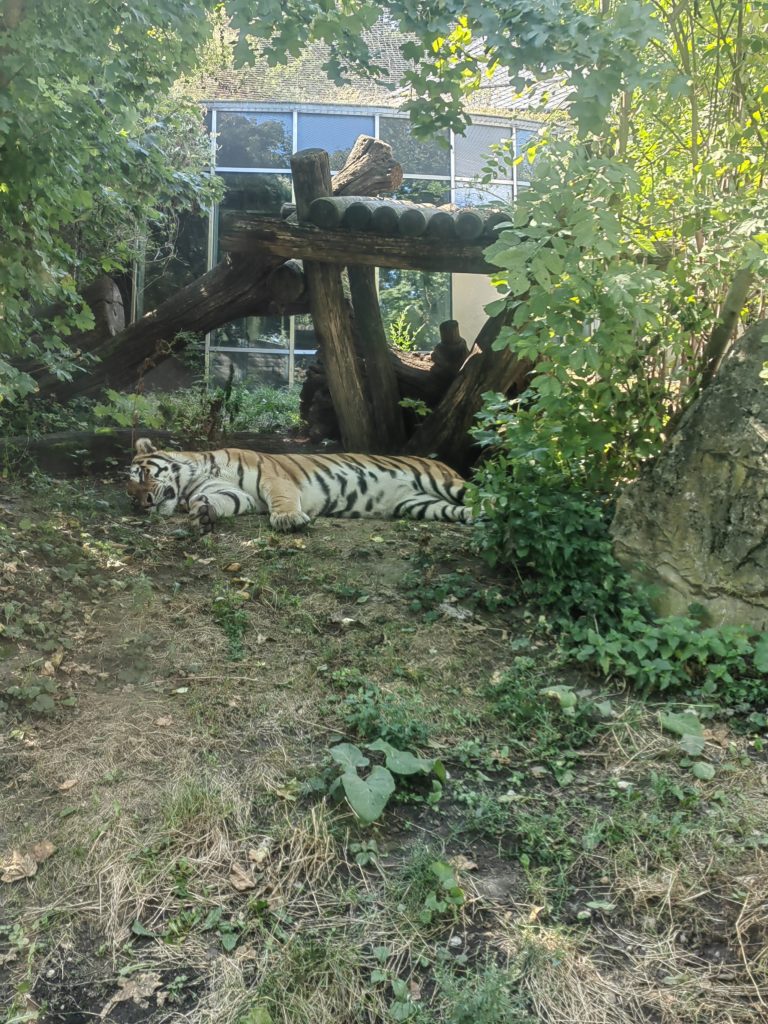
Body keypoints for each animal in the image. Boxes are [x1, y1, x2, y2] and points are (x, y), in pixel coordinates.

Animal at [128, 436, 475, 536]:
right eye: (131, 498)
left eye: (141, 477)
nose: (143, 504)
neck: (194, 478)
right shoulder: (237, 495)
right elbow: (220, 501)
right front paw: (202, 513)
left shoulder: (271, 477)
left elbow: (281, 498)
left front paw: (288, 519)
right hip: (420, 504)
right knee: (466, 511)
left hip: (445, 484)